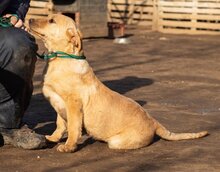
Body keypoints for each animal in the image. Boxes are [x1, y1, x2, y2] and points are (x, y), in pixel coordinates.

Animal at [28, 14, 208, 153]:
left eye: (51, 20)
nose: (29, 19)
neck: (60, 58)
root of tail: (153, 121)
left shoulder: (73, 104)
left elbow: (72, 128)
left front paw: (69, 146)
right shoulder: (58, 104)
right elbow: (60, 125)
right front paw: (53, 138)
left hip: (116, 142)